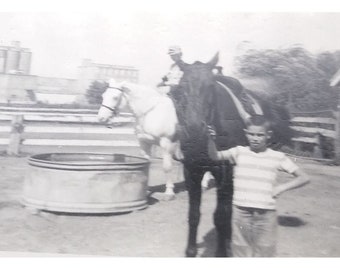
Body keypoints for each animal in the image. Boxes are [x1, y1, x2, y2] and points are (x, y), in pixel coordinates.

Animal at [175, 53, 292, 258]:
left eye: (211, 86)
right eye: (181, 86)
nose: (195, 128)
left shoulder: (225, 173)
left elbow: (221, 215)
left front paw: (221, 251)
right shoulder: (192, 172)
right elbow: (194, 214)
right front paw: (190, 251)